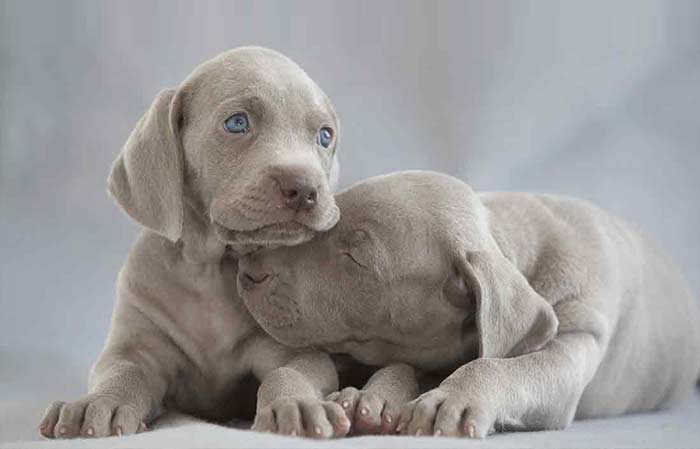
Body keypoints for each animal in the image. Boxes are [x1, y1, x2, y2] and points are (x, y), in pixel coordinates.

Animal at [237, 170, 700, 436]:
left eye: (357, 258)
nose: (246, 268)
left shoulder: (577, 336)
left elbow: (498, 365)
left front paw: (452, 399)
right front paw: (367, 397)